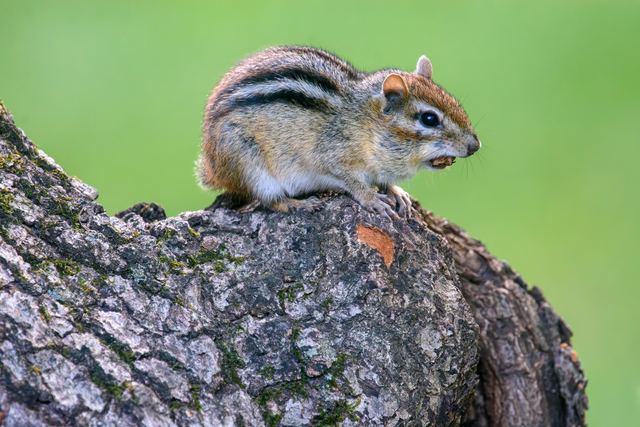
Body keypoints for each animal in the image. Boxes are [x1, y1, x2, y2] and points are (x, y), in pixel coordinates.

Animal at [198, 46, 480, 219]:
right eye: (429, 119)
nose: (474, 146)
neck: (366, 123)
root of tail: (212, 167)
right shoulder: (331, 156)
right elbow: (350, 181)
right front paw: (372, 198)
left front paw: (397, 192)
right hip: (250, 165)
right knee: (269, 200)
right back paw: (298, 203)